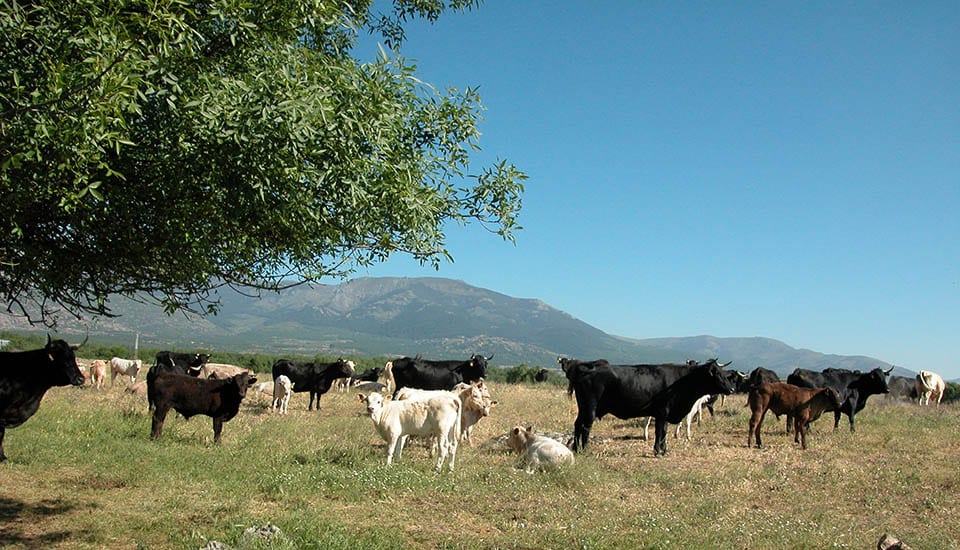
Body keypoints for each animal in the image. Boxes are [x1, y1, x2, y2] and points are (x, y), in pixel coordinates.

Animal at [564, 358, 736, 458]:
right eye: (717, 374)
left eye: (725, 374)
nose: (732, 389)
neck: (682, 381)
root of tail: (587, 369)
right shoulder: (662, 412)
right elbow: (660, 432)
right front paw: (658, 452)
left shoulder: (664, 414)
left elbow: (663, 432)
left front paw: (664, 451)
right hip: (590, 408)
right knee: (586, 427)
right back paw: (585, 450)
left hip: (583, 408)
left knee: (577, 425)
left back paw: (576, 448)